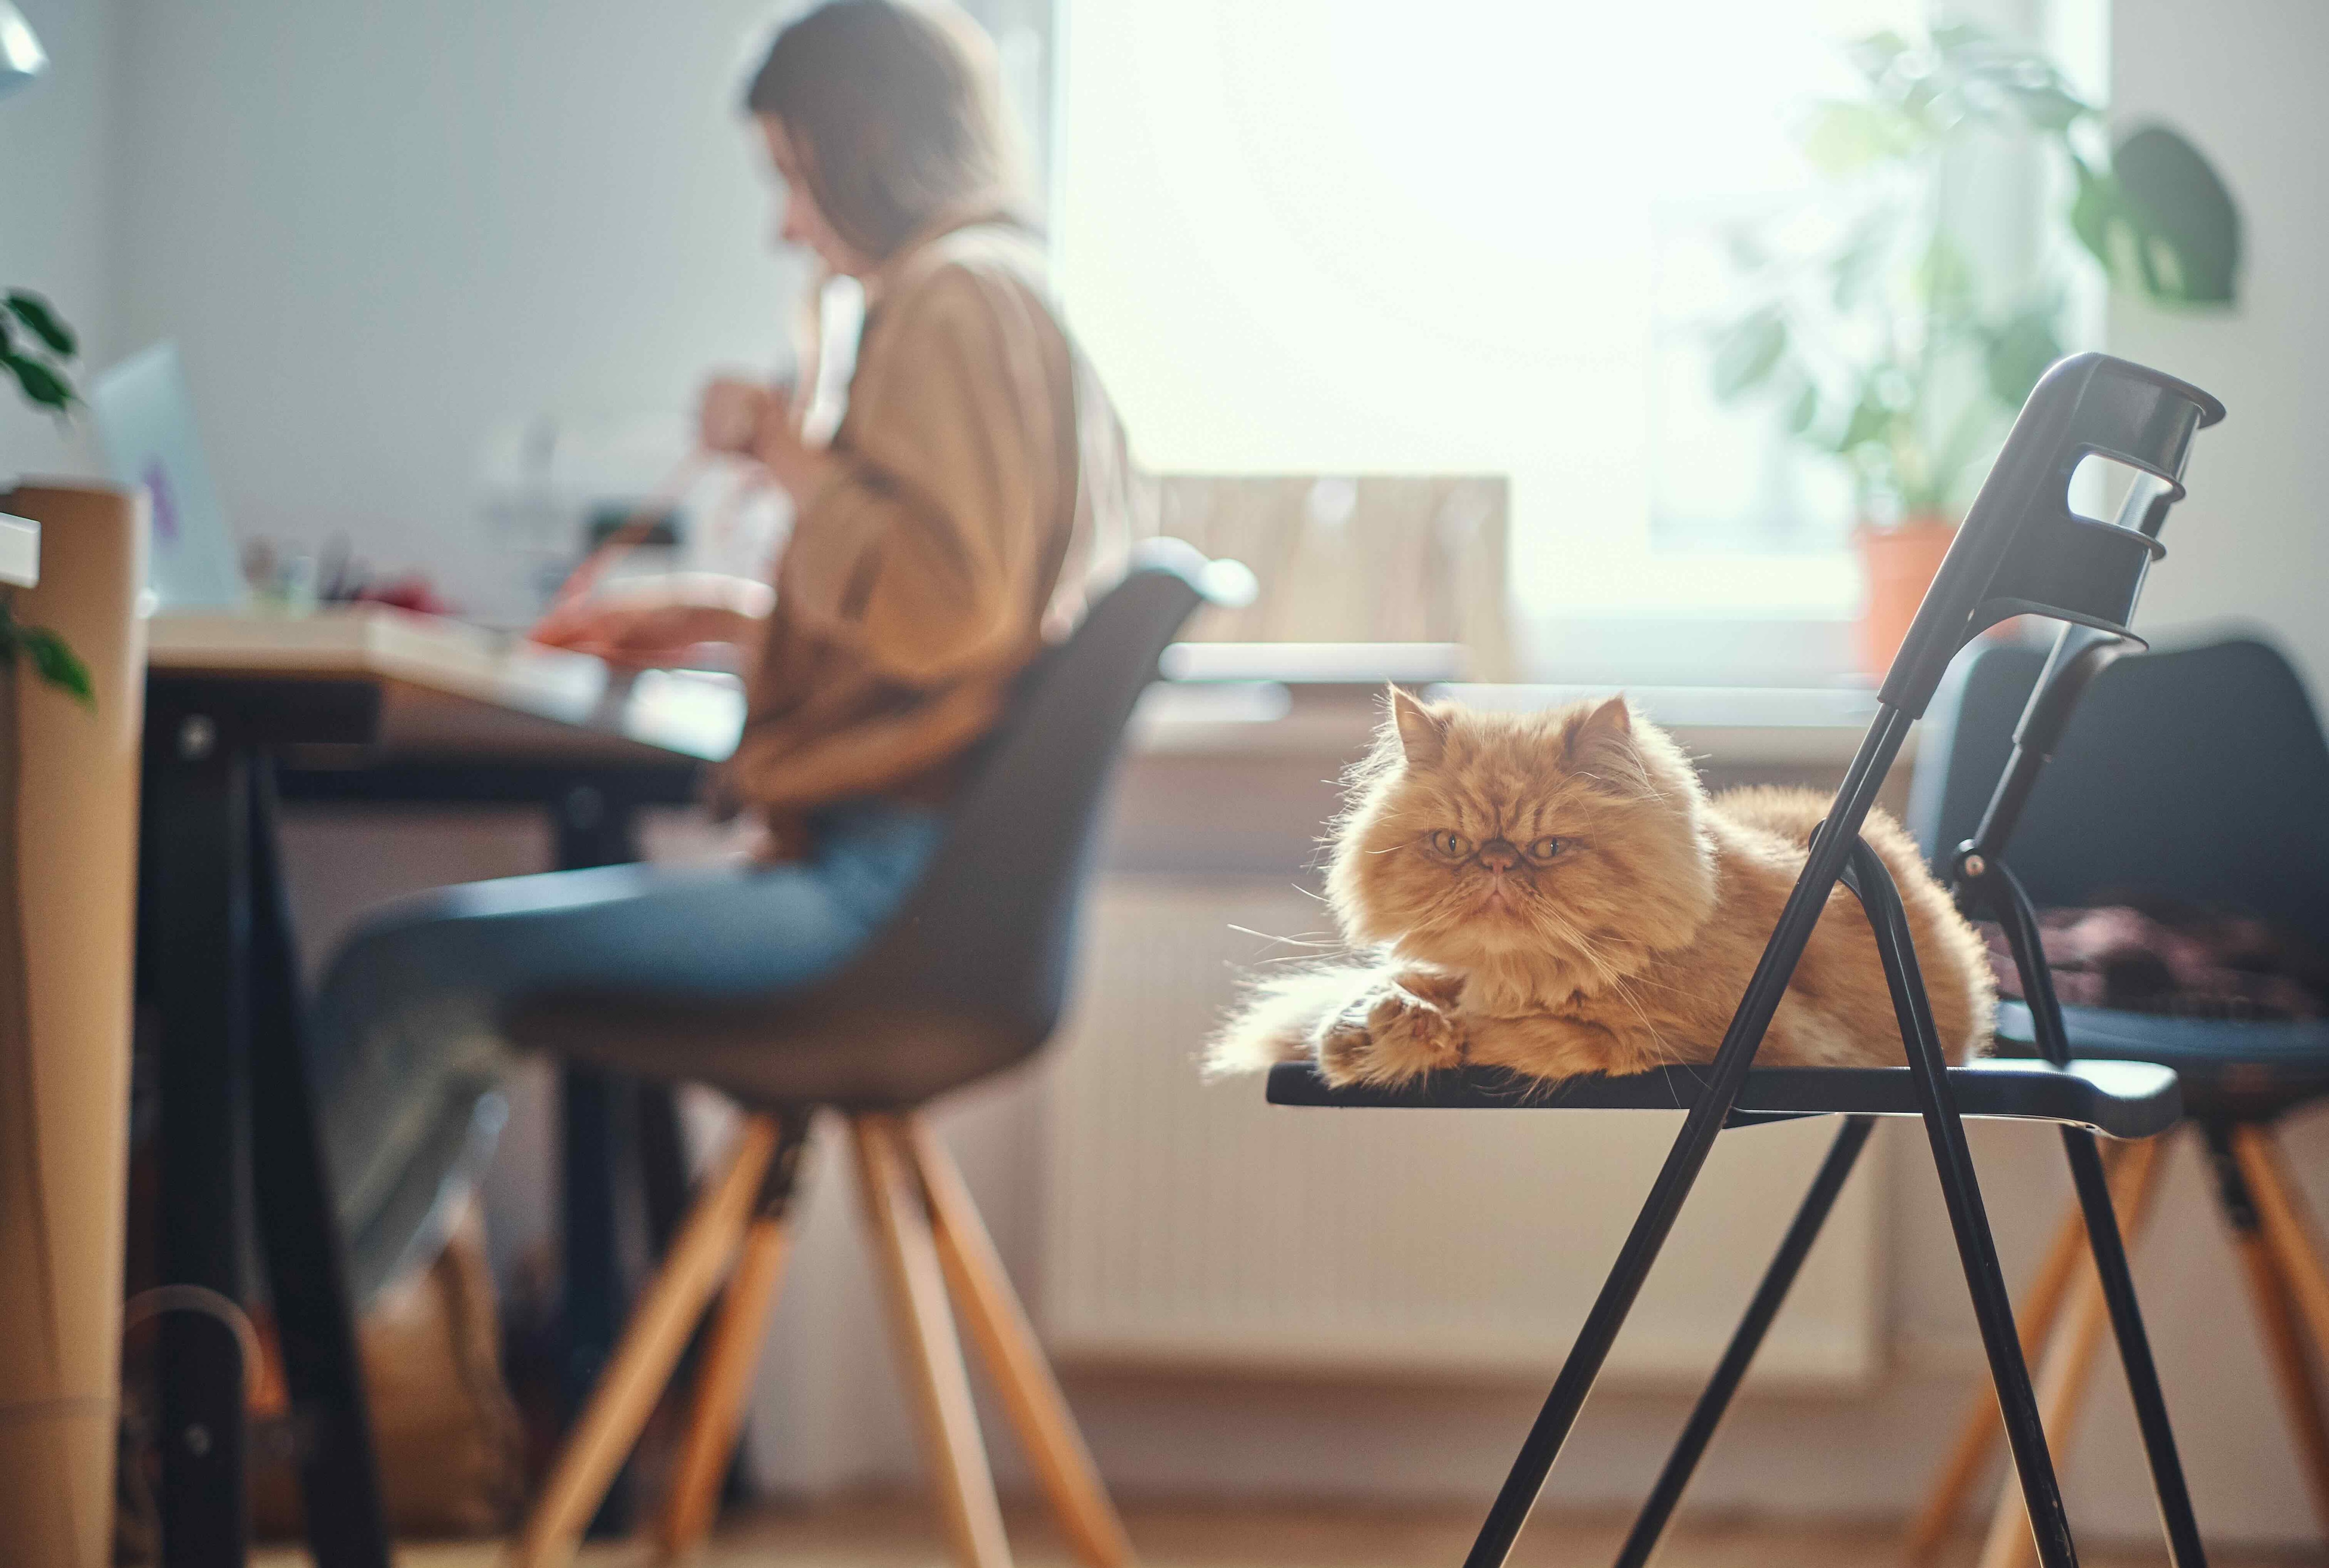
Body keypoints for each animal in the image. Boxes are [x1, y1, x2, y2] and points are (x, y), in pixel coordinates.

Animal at [1211, 689, 1994, 1081]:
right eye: (1453, 845)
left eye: (1549, 848)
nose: (1497, 863)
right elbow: (1383, 986)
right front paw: (1370, 1029)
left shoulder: (1735, 1042)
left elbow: (1532, 1033)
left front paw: (1433, 1033)